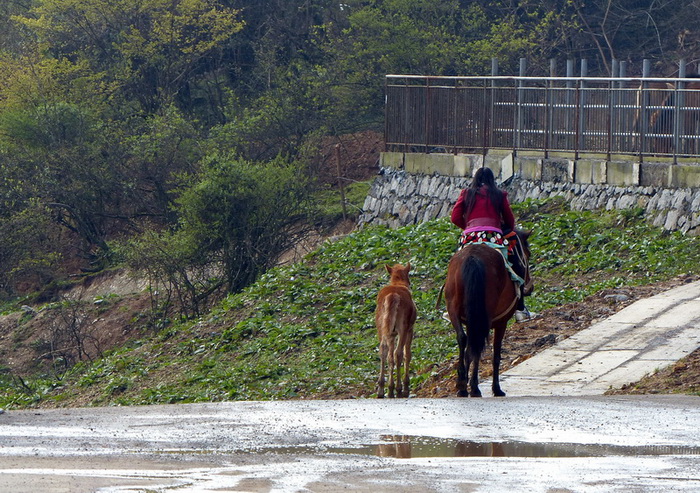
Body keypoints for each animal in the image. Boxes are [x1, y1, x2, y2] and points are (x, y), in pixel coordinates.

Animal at [378, 264, 416, 398]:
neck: (398, 283)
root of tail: (392, 295)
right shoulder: (410, 329)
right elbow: (407, 354)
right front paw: (406, 385)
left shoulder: (391, 334)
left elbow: (389, 357)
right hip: (402, 329)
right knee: (398, 353)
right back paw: (399, 389)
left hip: (382, 329)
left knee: (383, 352)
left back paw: (383, 389)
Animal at [446, 233, 532, 398]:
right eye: (527, 255)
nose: (530, 288)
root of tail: (473, 258)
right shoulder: (501, 323)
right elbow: (495, 355)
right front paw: (496, 388)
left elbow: (469, 349)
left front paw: (463, 384)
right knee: (478, 346)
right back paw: (475, 388)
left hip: (454, 308)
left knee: (463, 338)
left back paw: (462, 385)